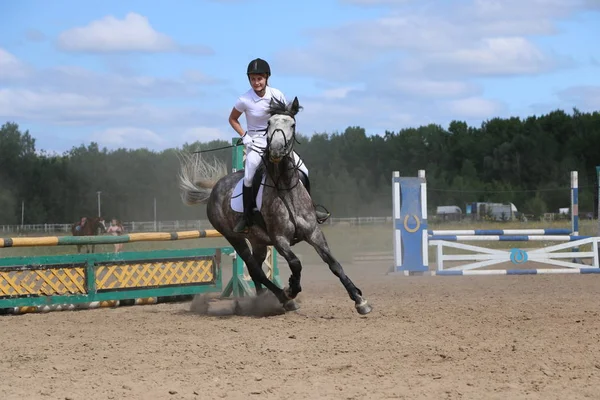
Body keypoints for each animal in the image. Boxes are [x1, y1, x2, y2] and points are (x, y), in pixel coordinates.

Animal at [177, 97, 370, 316]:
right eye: (269, 123)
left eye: (292, 124)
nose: (276, 150)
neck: (286, 188)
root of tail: (215, 189)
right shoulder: (279, 239)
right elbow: (295, 263)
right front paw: (292, 288)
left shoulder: (314, 233)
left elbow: (334, 264)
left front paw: (359, 300)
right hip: (235, 238)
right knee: (255, 269)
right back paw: (283, 299)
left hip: (258, 241)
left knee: (256, 270)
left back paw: (264, 300)